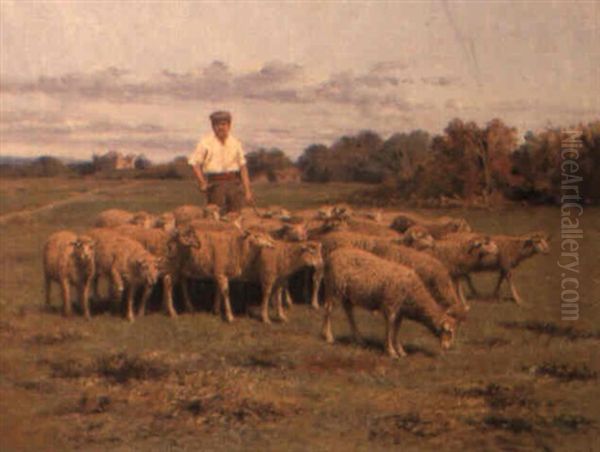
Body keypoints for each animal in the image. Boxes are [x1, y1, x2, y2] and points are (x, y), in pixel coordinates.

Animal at [322, 247, 458, 356]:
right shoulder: (391, 306)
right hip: (334, 287)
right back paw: (328, 337)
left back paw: (359, 339)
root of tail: (332, 254)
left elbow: (396, 330)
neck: (414, 293)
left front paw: (399, 349)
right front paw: (391, 351)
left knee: (349, 313)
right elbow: (390, 328)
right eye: (449, 332)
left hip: (347, 294)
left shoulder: (400, 312)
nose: (447, 348)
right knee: (328, 309)